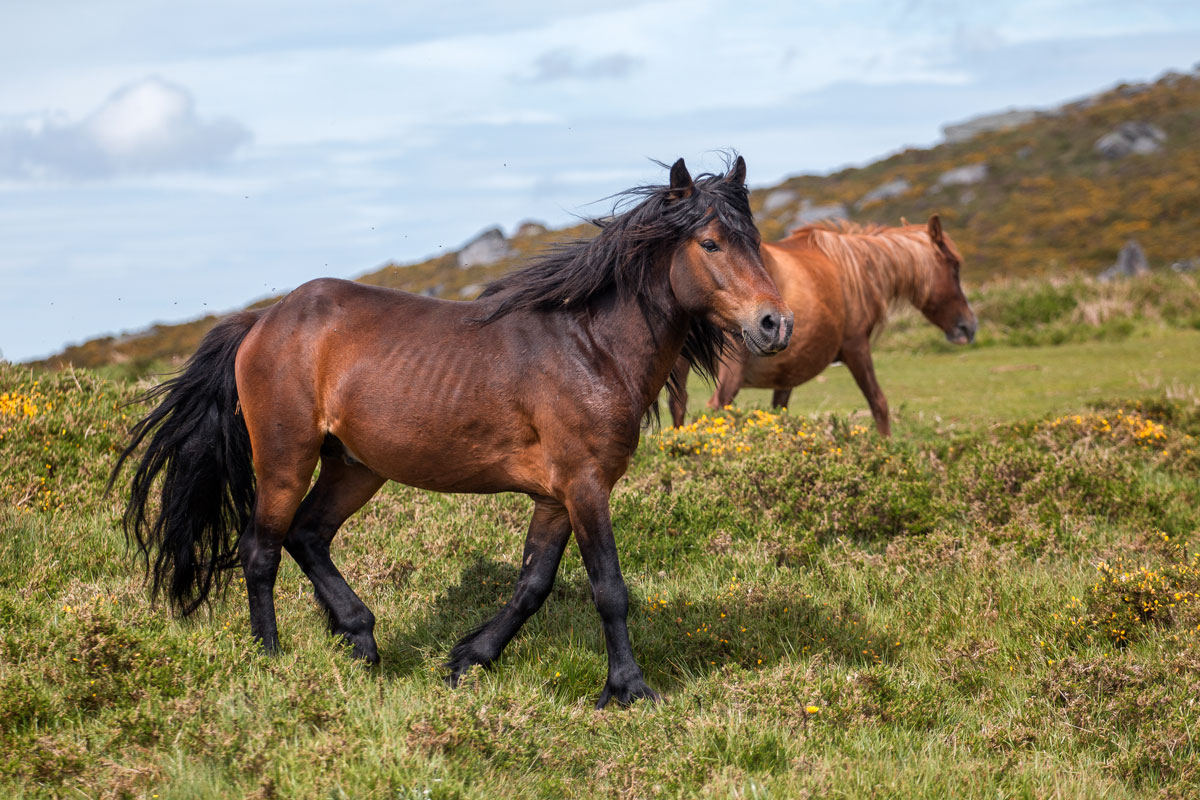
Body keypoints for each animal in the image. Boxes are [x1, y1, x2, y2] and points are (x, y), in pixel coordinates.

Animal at [110, 156, 793, 709]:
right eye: (709, 243)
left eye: (755, 240)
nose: (775, 324)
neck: (590, 348)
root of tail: (261, 321)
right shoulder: (585, 485)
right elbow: (609, 589)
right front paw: (629, 691)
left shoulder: (555, 497)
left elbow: (532, 586)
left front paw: (466, 661)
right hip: (285, 458)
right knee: (261, 550)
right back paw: (271, 660)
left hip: (354, 466)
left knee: (308, 536)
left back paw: (361, 640)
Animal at [668, 215, 975, 436]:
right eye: (954, 266)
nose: (969, 327)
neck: (854, 269)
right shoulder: (856, 348)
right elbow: (879, 404)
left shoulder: (787, 375)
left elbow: (778, 414)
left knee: (678, 408)